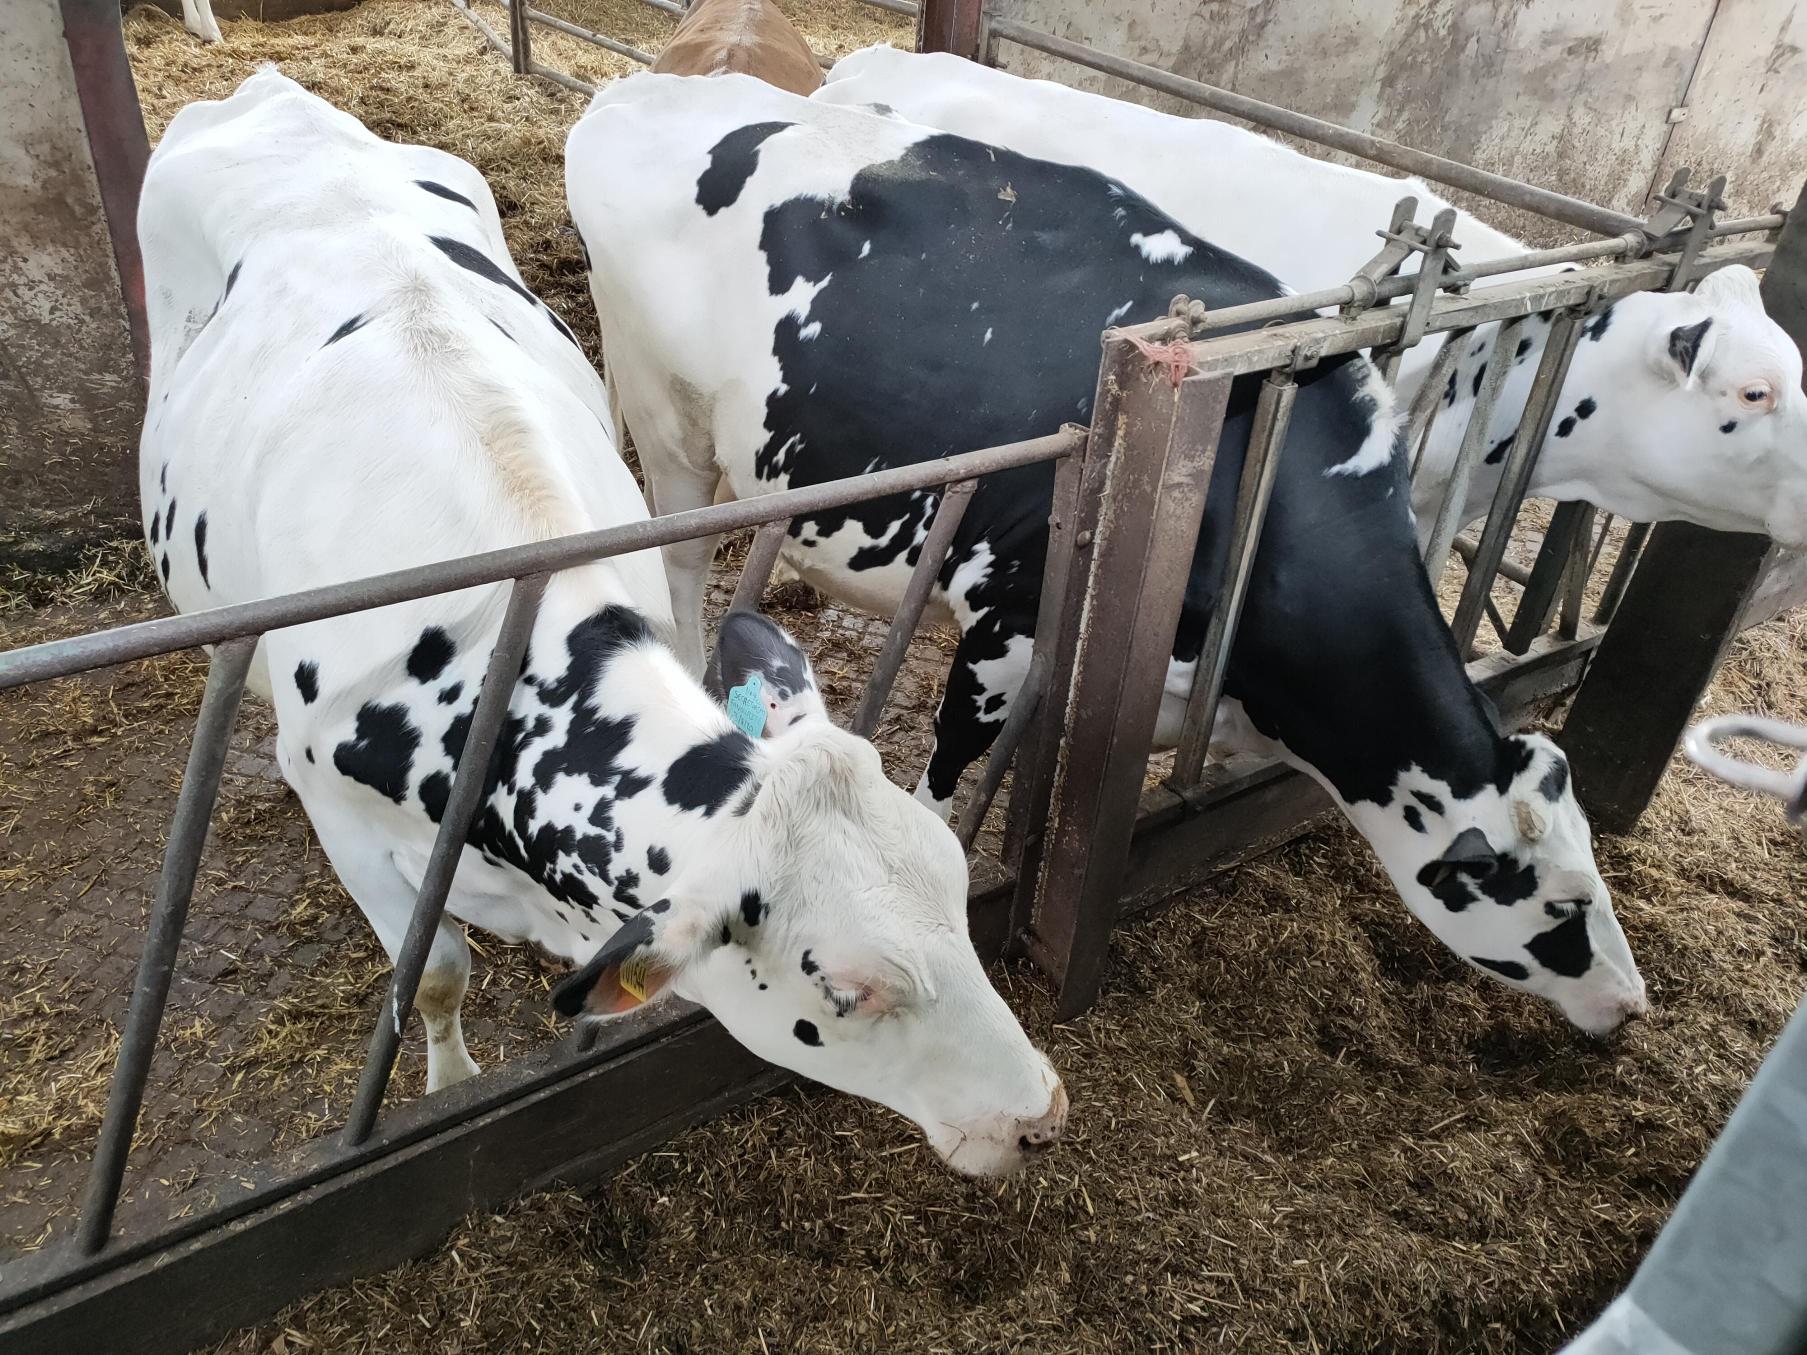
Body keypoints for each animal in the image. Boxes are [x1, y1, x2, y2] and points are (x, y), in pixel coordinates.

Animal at [144, 71, 1069, 1177]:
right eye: (846, 991)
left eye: (958, 886)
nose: (1040, 1111)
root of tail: (277, 91)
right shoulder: (353, 832)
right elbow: (435, 972)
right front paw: (449, 1086)